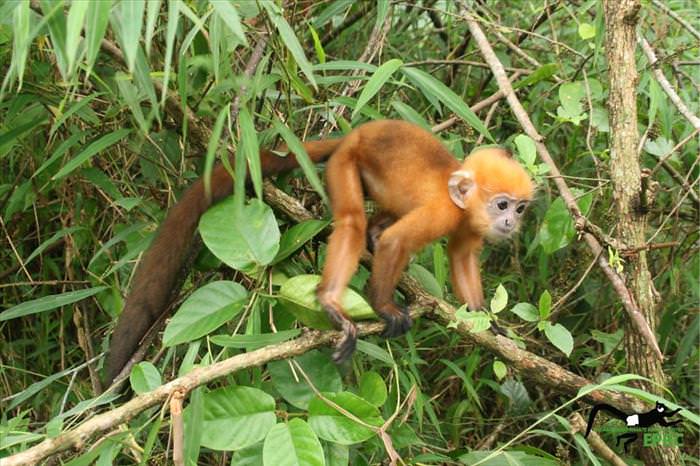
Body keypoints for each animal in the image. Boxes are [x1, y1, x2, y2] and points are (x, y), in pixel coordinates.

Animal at [102, 119, 532, 382]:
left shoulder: (467, 225)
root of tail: (353, 136)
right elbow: (398, 243)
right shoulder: (444, 211)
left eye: (520, 208)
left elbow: (461, 258)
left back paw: (372, 237)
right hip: (345, 164)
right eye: (501, 205)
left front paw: (488, 322)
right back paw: (330, 299)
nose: (511, 224)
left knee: (374, 223)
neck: (461, 204)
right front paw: (383, 305)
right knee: (353, 222)